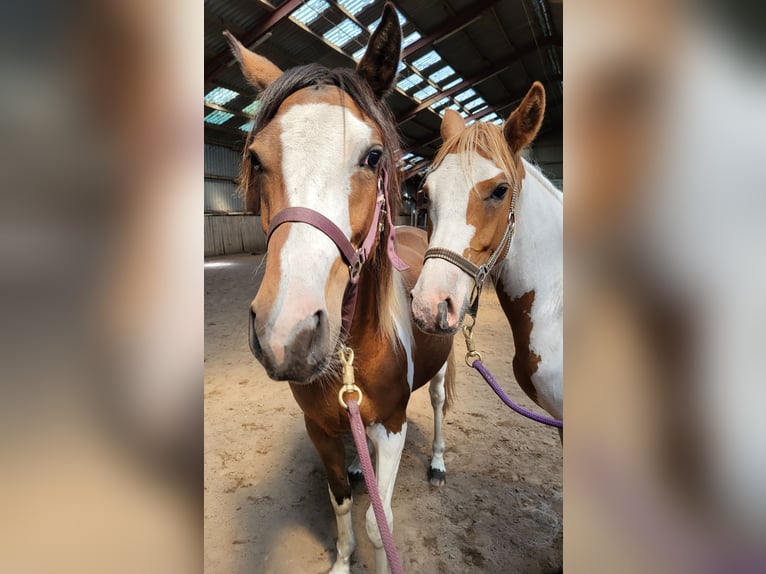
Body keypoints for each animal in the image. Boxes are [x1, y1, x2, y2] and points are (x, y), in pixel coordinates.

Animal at [225, 5, 455, 573]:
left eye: (373, 156)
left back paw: (438, 463)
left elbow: (380, 520)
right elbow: (343, 504)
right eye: (256, 158)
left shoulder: (393, 425)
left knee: (440, 402)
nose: (286, 333)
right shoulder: (320, 430)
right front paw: (342, 561)